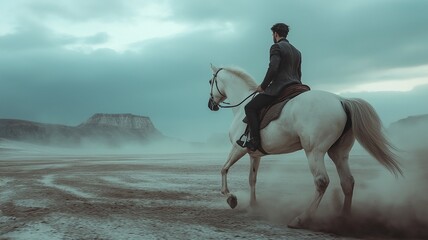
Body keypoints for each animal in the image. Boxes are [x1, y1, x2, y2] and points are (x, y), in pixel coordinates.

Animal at [207, 64, 402, 229]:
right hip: (339, 154)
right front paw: (253, 206)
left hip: (314, 152)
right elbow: (252, 179)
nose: (211, 105)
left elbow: (223, 169)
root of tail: (341, 101)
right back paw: (343, 218)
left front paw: (231, 198)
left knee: (322, 182)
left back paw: (301, 219)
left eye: (210, 82)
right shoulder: (254, 155)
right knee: (348, 182)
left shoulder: (238, 148)